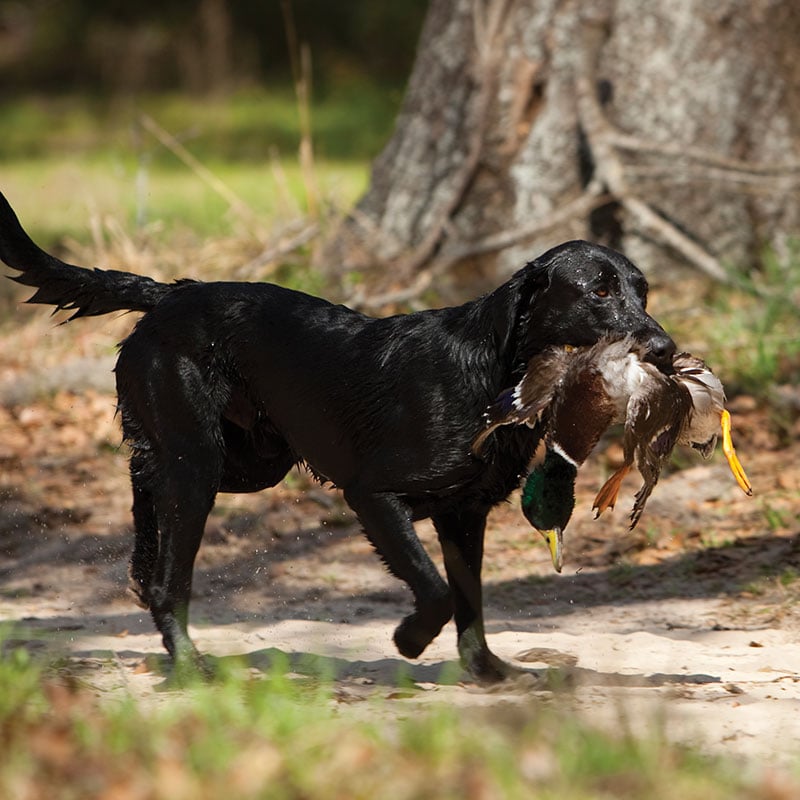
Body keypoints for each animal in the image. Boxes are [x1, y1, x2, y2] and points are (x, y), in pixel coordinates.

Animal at [0, 192, 676, 680]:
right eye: (598, 289)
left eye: (643, 290)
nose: (666, 351)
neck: (494, 372)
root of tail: (171, 294)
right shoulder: (373, 495)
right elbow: (436, 591)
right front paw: (409, 640)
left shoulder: (463, 516)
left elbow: (470, 599)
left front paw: (486, 670)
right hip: (201, 466)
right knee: (172, 575)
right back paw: (190, 661)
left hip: (249, 461)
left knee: (144, 478)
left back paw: (142, 570)